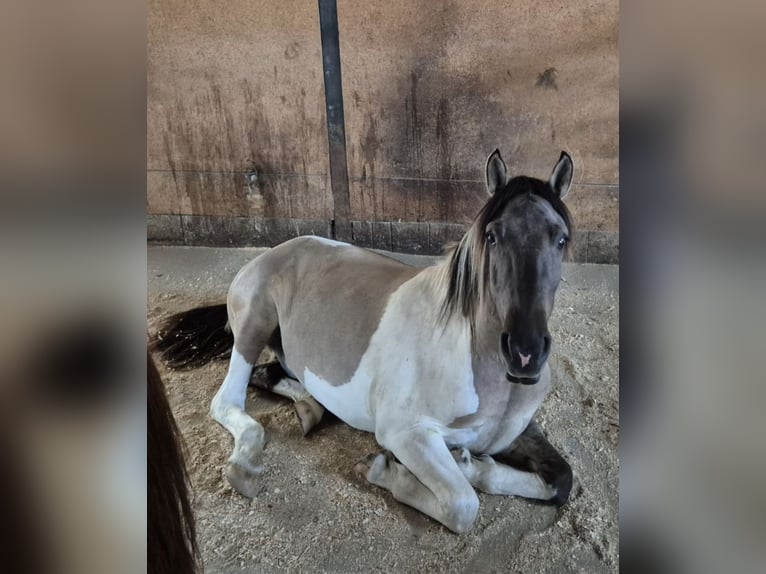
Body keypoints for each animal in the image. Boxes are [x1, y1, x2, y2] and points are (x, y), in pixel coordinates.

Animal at [154, 149, 575, 534]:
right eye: (492, 236)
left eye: (561, 239)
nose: (525, 354)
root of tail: (273, 252)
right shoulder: (406, 433)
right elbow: (462, 504)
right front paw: (388, 471)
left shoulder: (519, 432)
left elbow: (562, 479)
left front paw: (475, 466)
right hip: (254, 323)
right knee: (229, 398)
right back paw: (245, 464)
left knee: (270, 373)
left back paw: (311, 408)